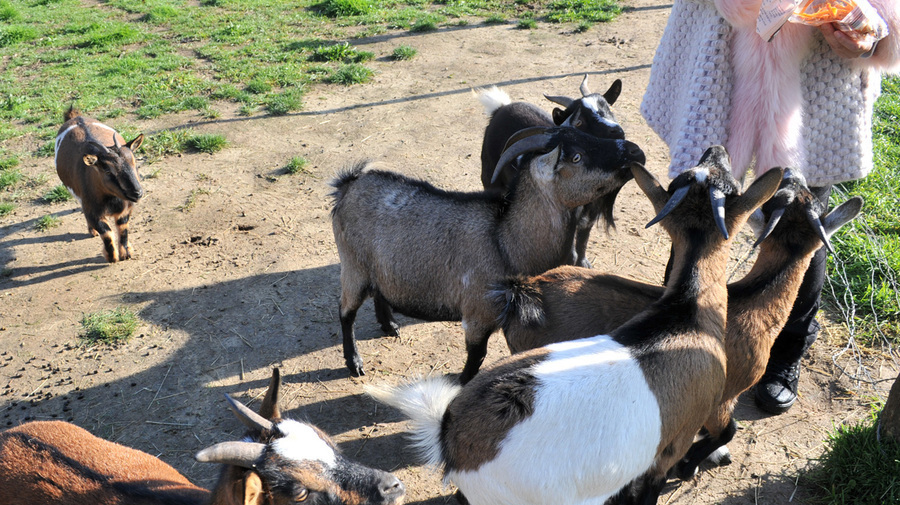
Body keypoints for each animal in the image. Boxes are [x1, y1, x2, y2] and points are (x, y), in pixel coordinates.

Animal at [55, 106, 144, 263]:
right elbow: (106, 233)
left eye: (134, 163)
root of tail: (75, 117)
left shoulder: (126, 207)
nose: (137, 193)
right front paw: (112, 257)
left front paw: (126, 253)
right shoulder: (92, 210)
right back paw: (92, 231)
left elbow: (123, 228)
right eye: (108, 171)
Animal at [330, 126, 645, 383]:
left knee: (379, 291)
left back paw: (391, 325)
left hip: (378, 266)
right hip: (352, 266)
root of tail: (349, 184)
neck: (505, 240)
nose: (635, 150)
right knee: (346, 312)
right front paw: (459, 384)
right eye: (577, 156)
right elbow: (477, 357)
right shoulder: (477, 314)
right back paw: (354, 363)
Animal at [478, 75, 625, 267]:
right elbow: (570, 254)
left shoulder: (589, 218)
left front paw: (584, 264)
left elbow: (583, 242)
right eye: (579, 122)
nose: (618, 131)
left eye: (608, 109)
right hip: (490, 175)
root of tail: (500, 108)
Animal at [492, 169, 863, 482]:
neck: (755, 301)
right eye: (806, 197)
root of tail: (526, 291)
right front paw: (689, 465)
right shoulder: (724, 395)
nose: (794, 172)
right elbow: (727, 430)